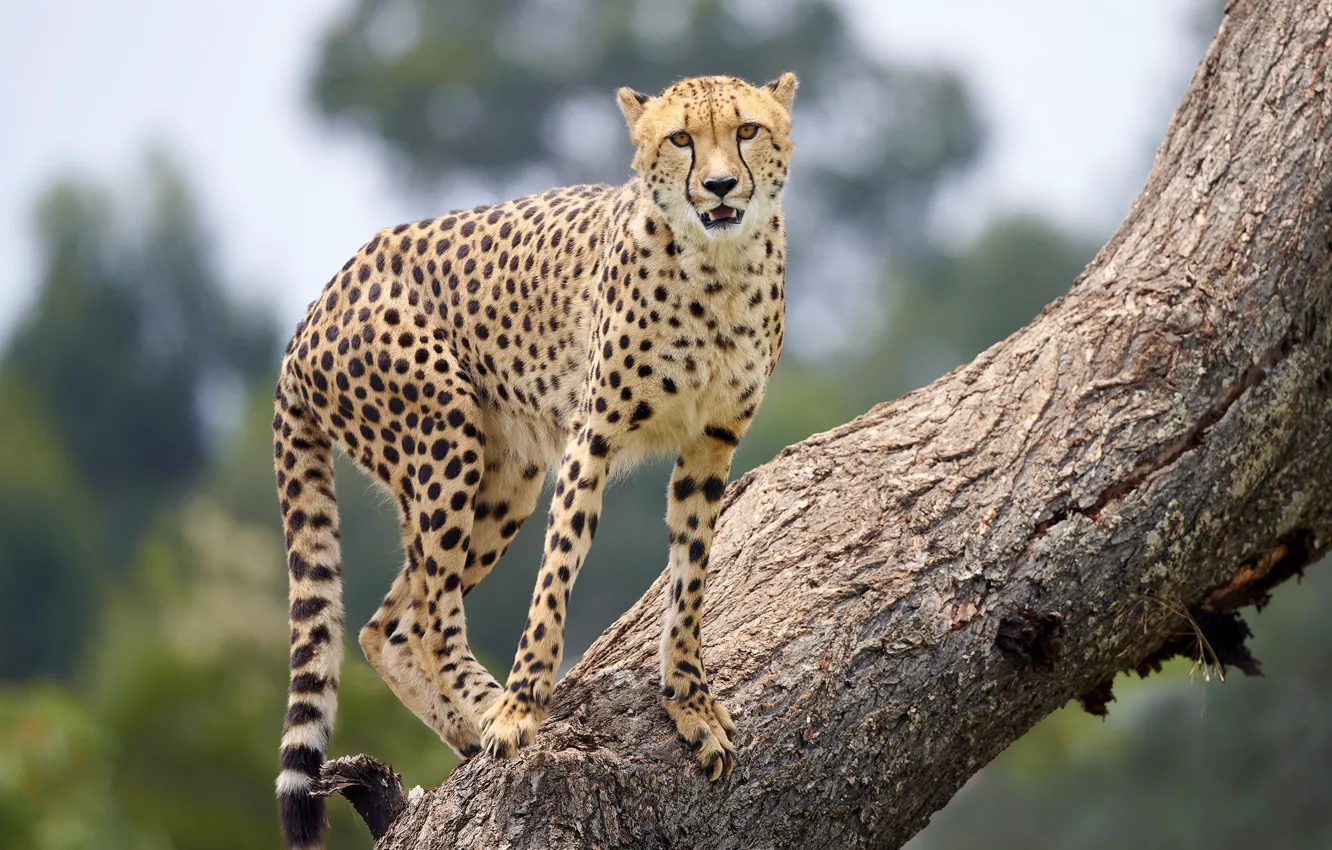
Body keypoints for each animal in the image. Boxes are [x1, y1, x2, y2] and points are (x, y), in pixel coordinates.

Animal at [272, 72, 797, 849]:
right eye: (681, 138)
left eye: (747, 130)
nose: (720, 185)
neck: (719, 267)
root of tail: (313, 309)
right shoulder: (592, 435)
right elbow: (554, 582)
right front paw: (522, 709)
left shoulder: (711, 442)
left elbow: (691, 580)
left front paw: (690, 702)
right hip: (444, 436)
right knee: (428, 616)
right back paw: (491, 707)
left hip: (506, 477)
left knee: (385, 625)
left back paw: (467, 728)